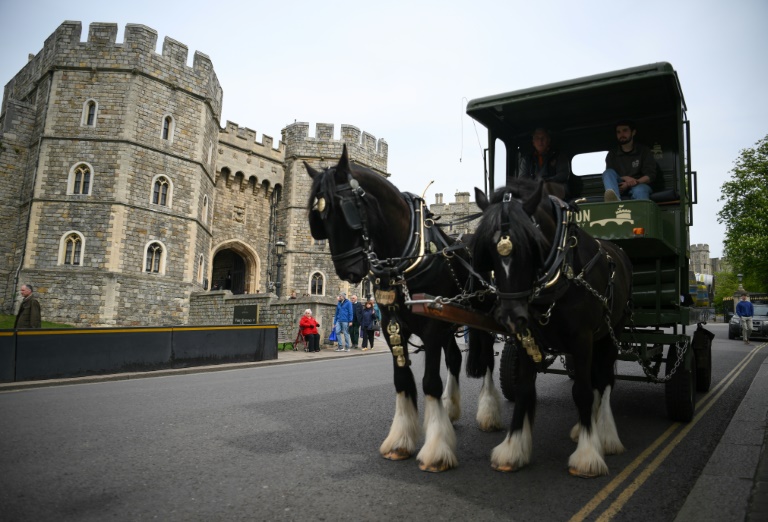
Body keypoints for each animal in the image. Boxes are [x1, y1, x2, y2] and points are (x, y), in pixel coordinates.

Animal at [306, 144, 504, 470]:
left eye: (346, 211)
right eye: (319, 219)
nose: (349, 271)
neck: (405, 257)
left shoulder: (432, 328)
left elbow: (430, 382)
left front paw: (436, 450)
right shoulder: (393, 326)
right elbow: (403, 380)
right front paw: (400, 440)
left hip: (482, 319)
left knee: (486, 359)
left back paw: (489, 413)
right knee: (455, 359)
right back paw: (450, 410)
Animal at [472, 180, 632, 476]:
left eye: (531, 245)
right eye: (487, 249)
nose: (510, 315)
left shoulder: (582, 338)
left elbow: (581, 391)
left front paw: (588, 454)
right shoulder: (526, 337)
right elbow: (524, 389)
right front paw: (513, 448)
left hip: (611, 332)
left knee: (604, 380)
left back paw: (604, 434)